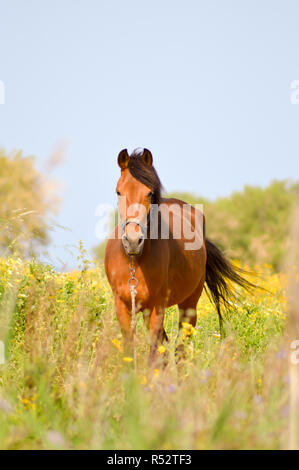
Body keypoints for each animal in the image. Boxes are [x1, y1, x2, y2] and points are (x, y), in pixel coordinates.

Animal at [105, 149, 255, 362]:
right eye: (118, 191)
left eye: (149, 192)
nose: (133, 241)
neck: (134, 260)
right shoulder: (122, 306)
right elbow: (130, 349)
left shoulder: (157, 307)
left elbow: (155, 351)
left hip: (189, 305)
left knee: (180, 347)